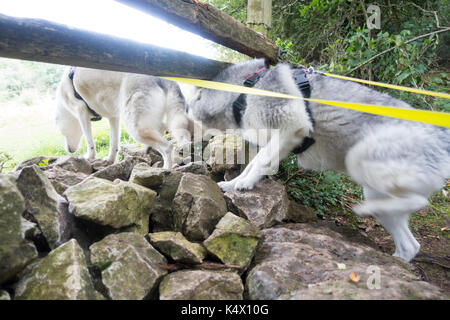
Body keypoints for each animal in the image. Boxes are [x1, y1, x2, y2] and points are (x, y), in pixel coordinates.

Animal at [55, 66, 192, 169]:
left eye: (62, 132)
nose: (69, 150)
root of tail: (163, 78)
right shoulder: (113, 117)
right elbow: (114, 143)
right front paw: (110, 160)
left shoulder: (81, 112)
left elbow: (90, 142)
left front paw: (90, 157)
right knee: (164, 131)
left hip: (136, 128)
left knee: (167, 146)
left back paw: (166, 169)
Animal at [187, 58, 450, 262]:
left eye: (188, 113)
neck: (248, 88)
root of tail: (442, 136)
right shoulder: (281, 140)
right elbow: (254, 163)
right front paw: (234, 182)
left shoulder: (291, 127)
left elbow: (259, 162)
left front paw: (244, 183)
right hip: (379, 196)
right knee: (410, 245)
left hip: (363, 163)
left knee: (418, 201)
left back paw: (366, 209)